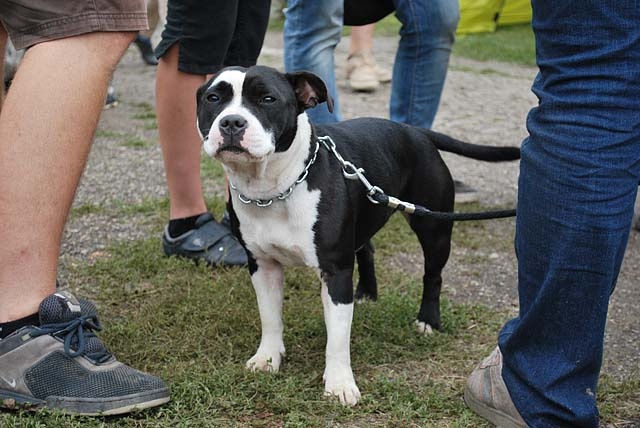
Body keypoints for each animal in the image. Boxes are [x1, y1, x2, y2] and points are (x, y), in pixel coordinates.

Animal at [195, 65, 520, 406]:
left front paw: (339, 384)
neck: (276, 189)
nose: (232, 122)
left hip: (434, 228)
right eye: (214, 98)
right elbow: (270, 317)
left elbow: (337, 338)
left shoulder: (335, 271)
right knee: (367, 249)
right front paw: (268, 358)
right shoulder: (263, 266)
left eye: (267, 99)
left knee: (433, 275)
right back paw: (366, 292)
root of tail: (416, 131)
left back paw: (428, 320)